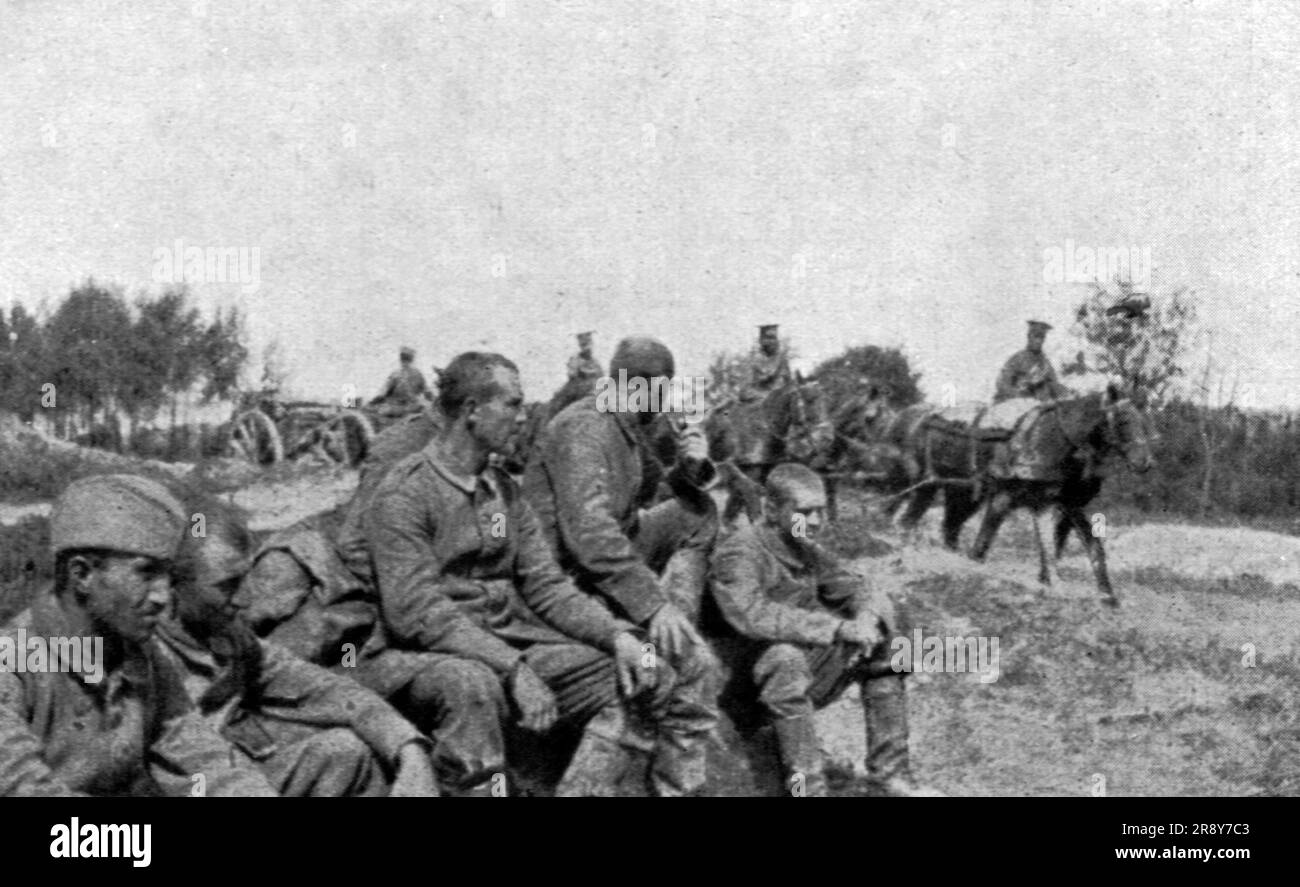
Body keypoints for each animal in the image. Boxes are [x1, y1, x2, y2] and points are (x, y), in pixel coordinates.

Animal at [883, 382, 1149, 603]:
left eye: (1143, 422)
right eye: (1123, 421)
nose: (1146, 462)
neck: (1049, 438)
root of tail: (916, 416)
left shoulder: (1055, 503)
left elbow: (1077, 547)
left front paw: (1106, 594)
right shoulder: (1004, 499)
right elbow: (982, 546)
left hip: (962, 494)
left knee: (948, 528)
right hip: (925, 487)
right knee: (905, 521)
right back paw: (898, 557)